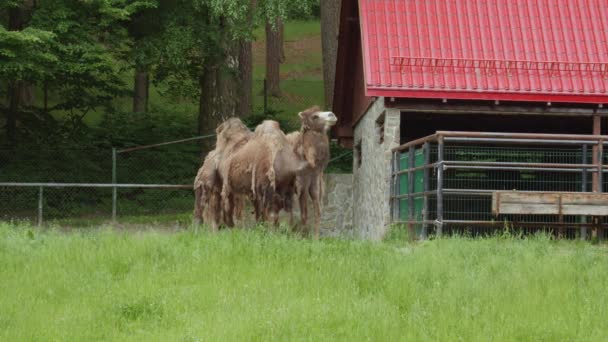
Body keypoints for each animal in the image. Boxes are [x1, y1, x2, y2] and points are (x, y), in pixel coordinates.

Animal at [286, 105, 338, 239]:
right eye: (315, 116)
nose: (332, 115)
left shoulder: (313, 182)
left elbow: (317, 212)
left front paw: (315, 238)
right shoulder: (300, 186)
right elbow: (303, 214)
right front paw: (298, 236)